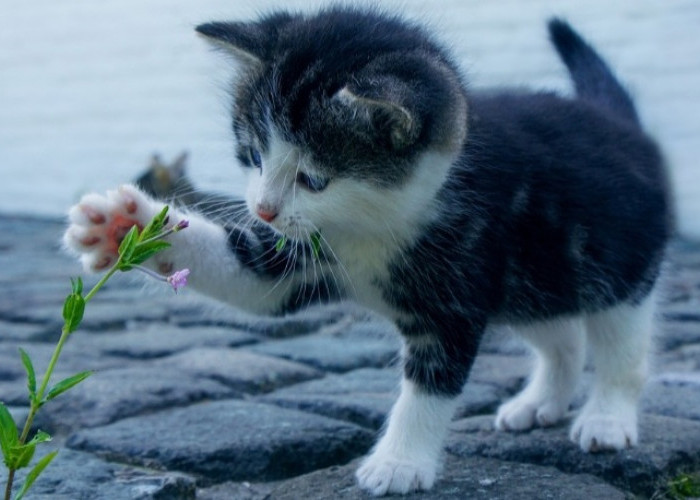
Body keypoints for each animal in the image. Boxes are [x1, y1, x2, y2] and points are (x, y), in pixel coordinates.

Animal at [64, 7, 672, 496]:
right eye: (254, 154)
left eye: (313, 179)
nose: (262, 209)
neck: (372, 224)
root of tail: (621, 123)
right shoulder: (300, 255)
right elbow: (251, 278)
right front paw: (124, 225)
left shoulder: (457, 286)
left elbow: (430, 384)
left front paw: (399, 463)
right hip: (534, 278)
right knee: (561, 335)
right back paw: (541, 401)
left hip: (617, 265)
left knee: (620, 346)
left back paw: (606, 418)